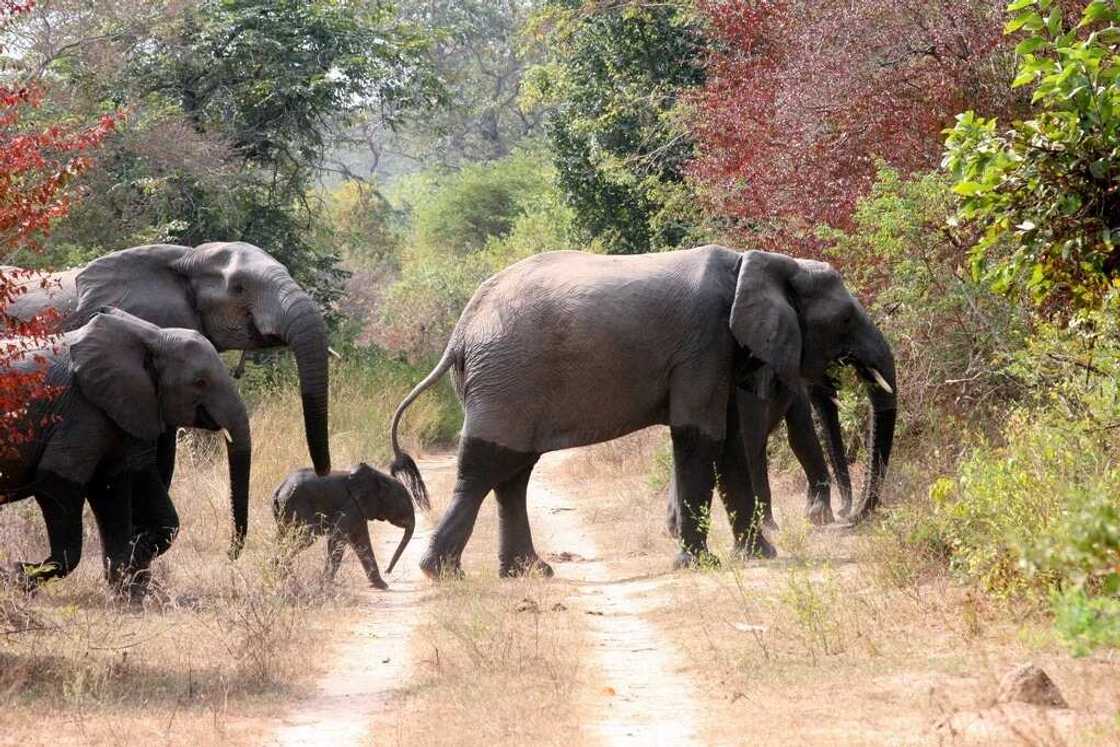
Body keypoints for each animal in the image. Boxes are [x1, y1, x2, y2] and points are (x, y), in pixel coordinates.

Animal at [0, 306, 252, 591]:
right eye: (200, 382)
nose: (229, 555)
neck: (153, 336)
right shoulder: (79, 412)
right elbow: (58, 482)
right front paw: (16, 575)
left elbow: (118, 487)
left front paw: (128, 574)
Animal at [271, 461, 416, 591]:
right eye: (404, 502)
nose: (388, 571)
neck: (379, 477)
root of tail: (279, 489)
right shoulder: (350, 506)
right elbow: (338, 538)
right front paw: (326, 584)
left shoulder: (358, 509)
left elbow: (361, 542)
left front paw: (381, 585)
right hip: (297, 506)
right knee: (303, 539)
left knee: (282, 539)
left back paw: (281, 578)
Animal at [389, 246, 896, 577]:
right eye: (845, 319)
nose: (855, 516)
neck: (759, 262)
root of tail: (461, 331)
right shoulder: (703, 344)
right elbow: (700, 438)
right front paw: (700, 565)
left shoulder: (722, 351)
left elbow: (730, 443)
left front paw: (759, 556)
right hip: (507, 380)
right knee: (486, 467)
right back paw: (442, 573)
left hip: (508, 383)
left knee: (514, 471)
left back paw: (528, 572)